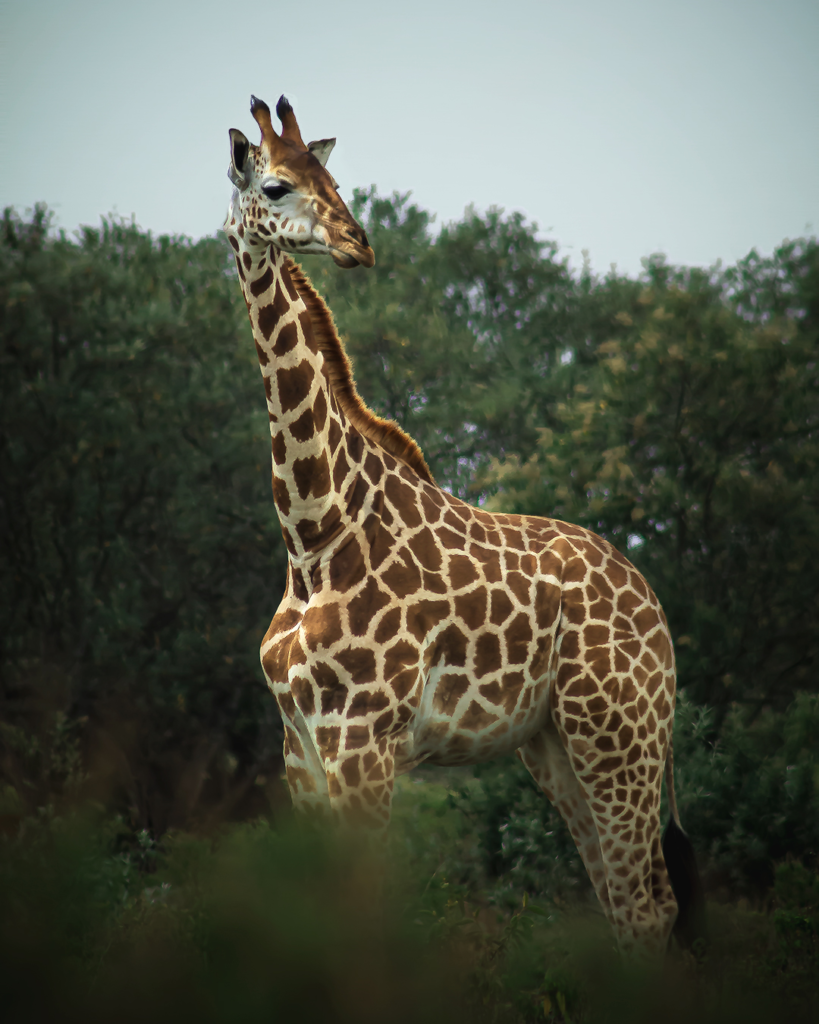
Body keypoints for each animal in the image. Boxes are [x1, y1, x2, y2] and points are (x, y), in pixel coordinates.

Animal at [223, 95, 703, 955]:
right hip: (554, 746)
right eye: (275, 185)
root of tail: (648, 597)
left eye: (332, 178)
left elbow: (371, 917)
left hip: (619, 733)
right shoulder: (300, 750)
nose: (356, 242)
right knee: (625, 904)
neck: (314, 536)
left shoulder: (364, 742)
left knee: (649, 908)